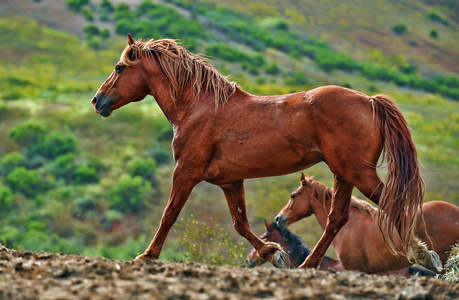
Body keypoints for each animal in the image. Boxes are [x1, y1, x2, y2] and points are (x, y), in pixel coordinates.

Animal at [90, 34, 438, 270]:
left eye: (119, 67)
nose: (97, 101)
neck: (197, 107)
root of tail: (369, 101)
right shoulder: (230, 182)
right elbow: (241, 224)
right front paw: (276, 254)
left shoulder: (186, 172)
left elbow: (169, 214)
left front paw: (147, 255)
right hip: (344, 174)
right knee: (337, 219)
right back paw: (307, 265)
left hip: (357, 172)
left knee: (392, 205)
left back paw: (424, 255)